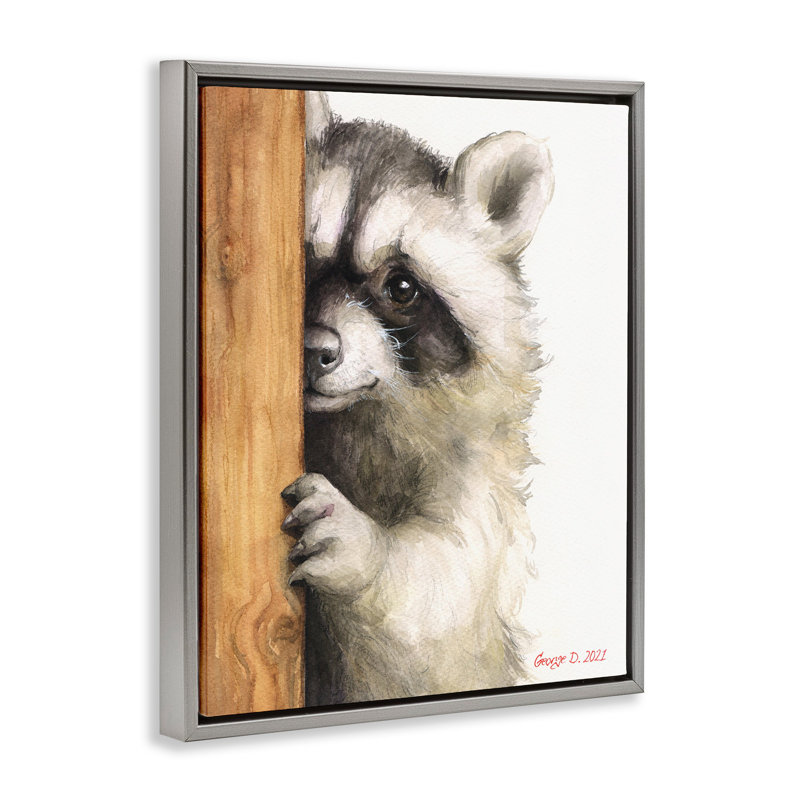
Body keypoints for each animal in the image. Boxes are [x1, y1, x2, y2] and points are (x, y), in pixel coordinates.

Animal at [280, 92, 554, 705]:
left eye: (401, 287)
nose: (314, 352)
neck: (352, 421)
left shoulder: (479, 476)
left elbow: (443, 600)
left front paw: (366, 552)